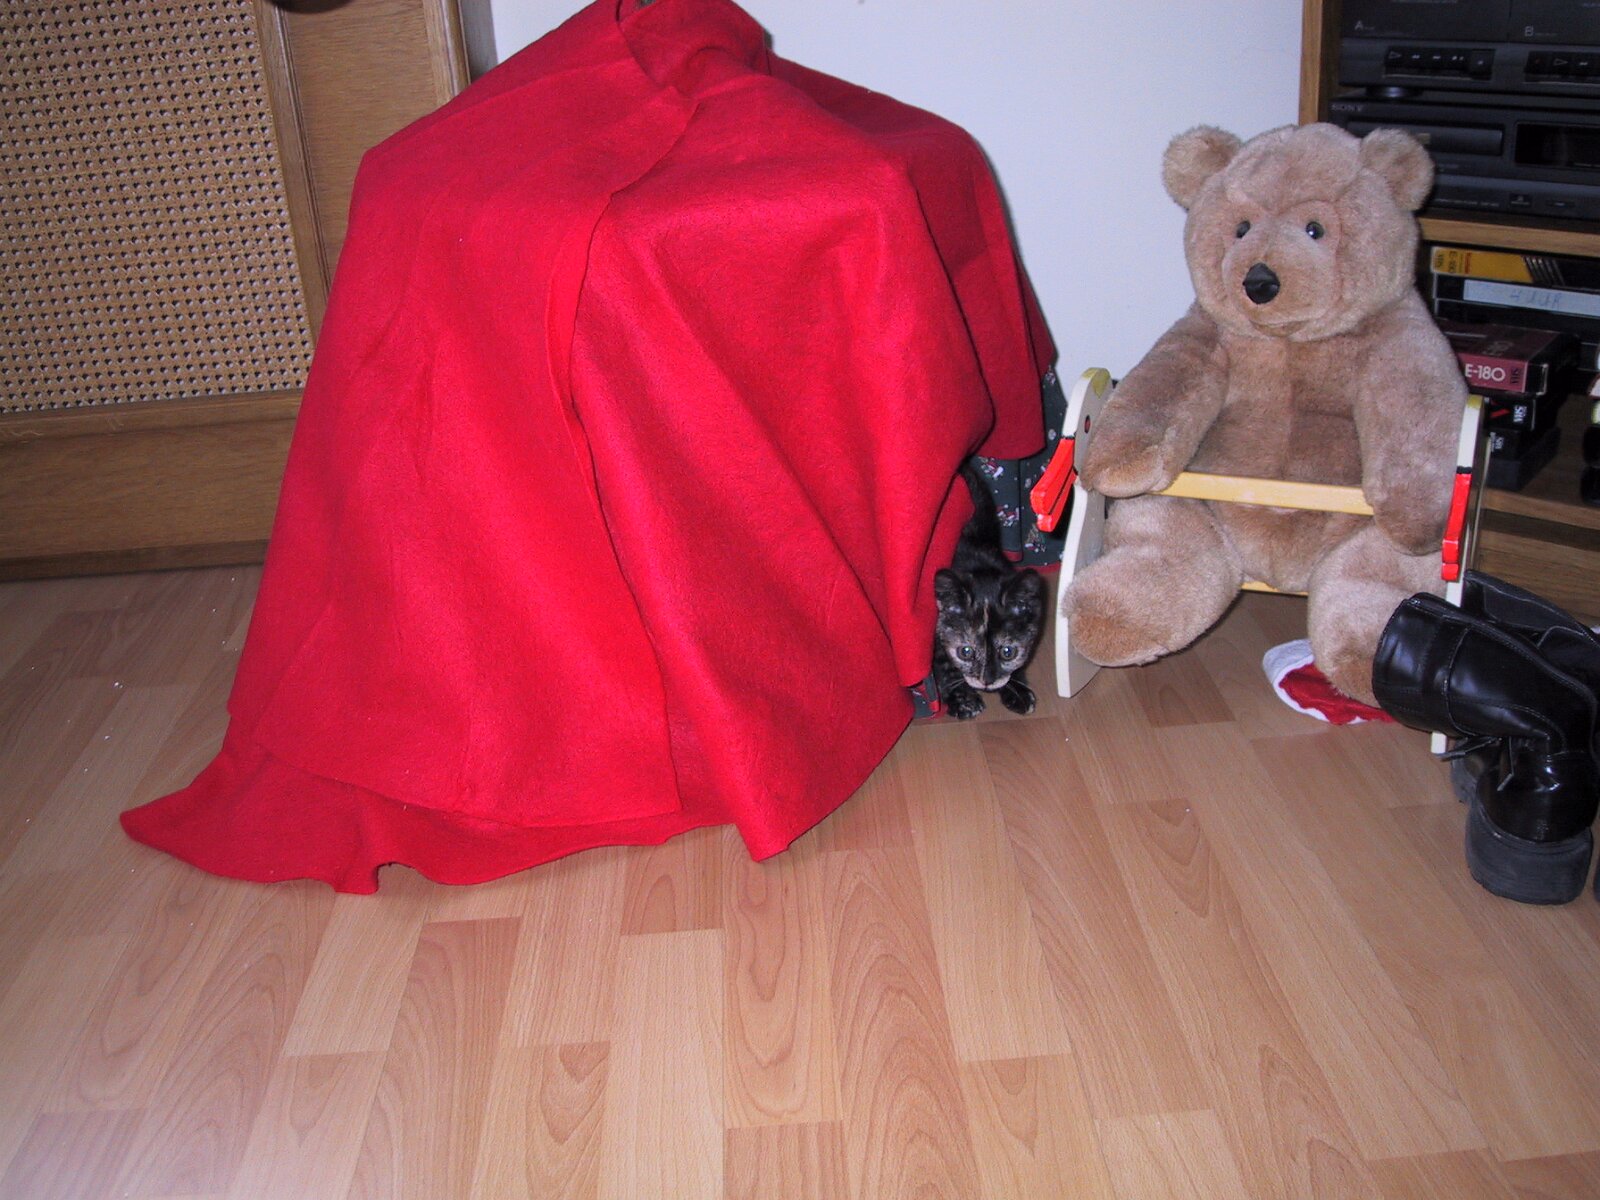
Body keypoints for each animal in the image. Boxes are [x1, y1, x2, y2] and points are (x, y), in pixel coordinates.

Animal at [932, 462, 1048, 720]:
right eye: (965, 652)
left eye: (1008, 652)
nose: (987, 681)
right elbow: (941, 660)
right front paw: (962, 699)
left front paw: (1017, 690)